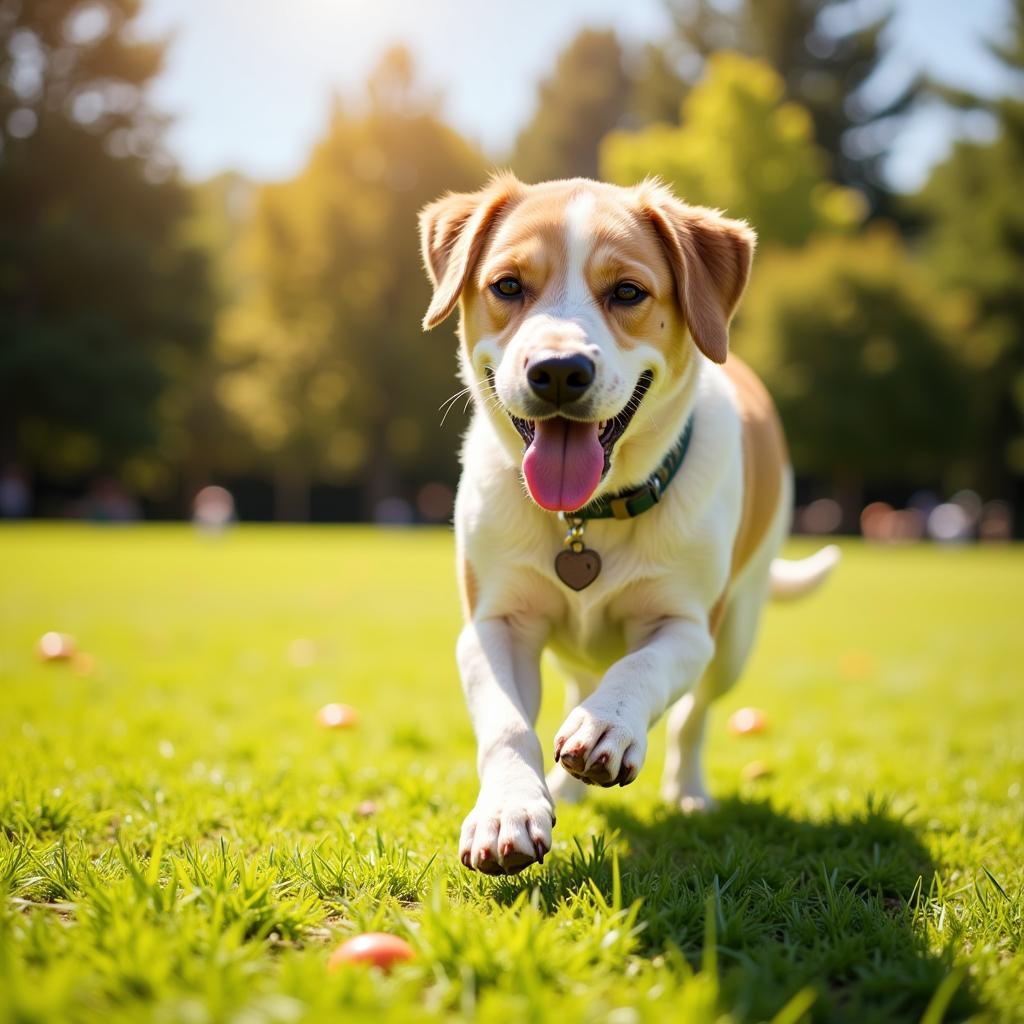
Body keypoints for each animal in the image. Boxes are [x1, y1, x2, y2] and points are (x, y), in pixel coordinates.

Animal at [417, 174, 839, 872]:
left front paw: (607, 725)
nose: (559, 370)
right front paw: (510, 807)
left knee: (693, 716)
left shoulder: (688, 626)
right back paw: (561, 788)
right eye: (507, 285)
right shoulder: (494, 624)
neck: (586, 520)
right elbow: (508, 723)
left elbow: (642, 670)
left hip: (736, 636)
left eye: (627, 292)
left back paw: (687, 790)